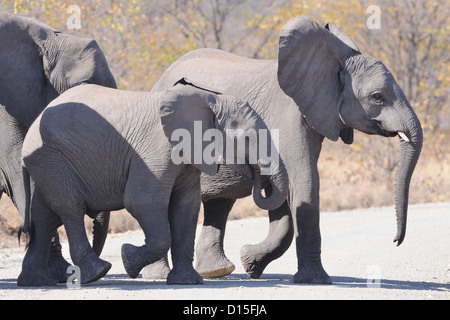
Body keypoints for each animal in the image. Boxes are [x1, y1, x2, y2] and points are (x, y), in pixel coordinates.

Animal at [17, 81, 288, 286]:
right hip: (52, 157)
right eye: (247, 138)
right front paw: (128, 259)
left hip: (48, 163)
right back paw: (98, 272)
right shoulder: (157, 150)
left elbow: (186, 208)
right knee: (70, 207)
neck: (209, 99)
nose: (257, 176)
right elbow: (142, 202)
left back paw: (35, 282)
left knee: (44, 216)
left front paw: (187, 282)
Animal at [146, 16, 424, 284]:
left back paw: (216, 271)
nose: (395, 241)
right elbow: (304, 180)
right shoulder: (287, 116)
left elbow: (286, 194)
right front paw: (315, 280)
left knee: (220, 202)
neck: (333, 64)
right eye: (377, 97)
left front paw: (250, 263)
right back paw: (161, 274)